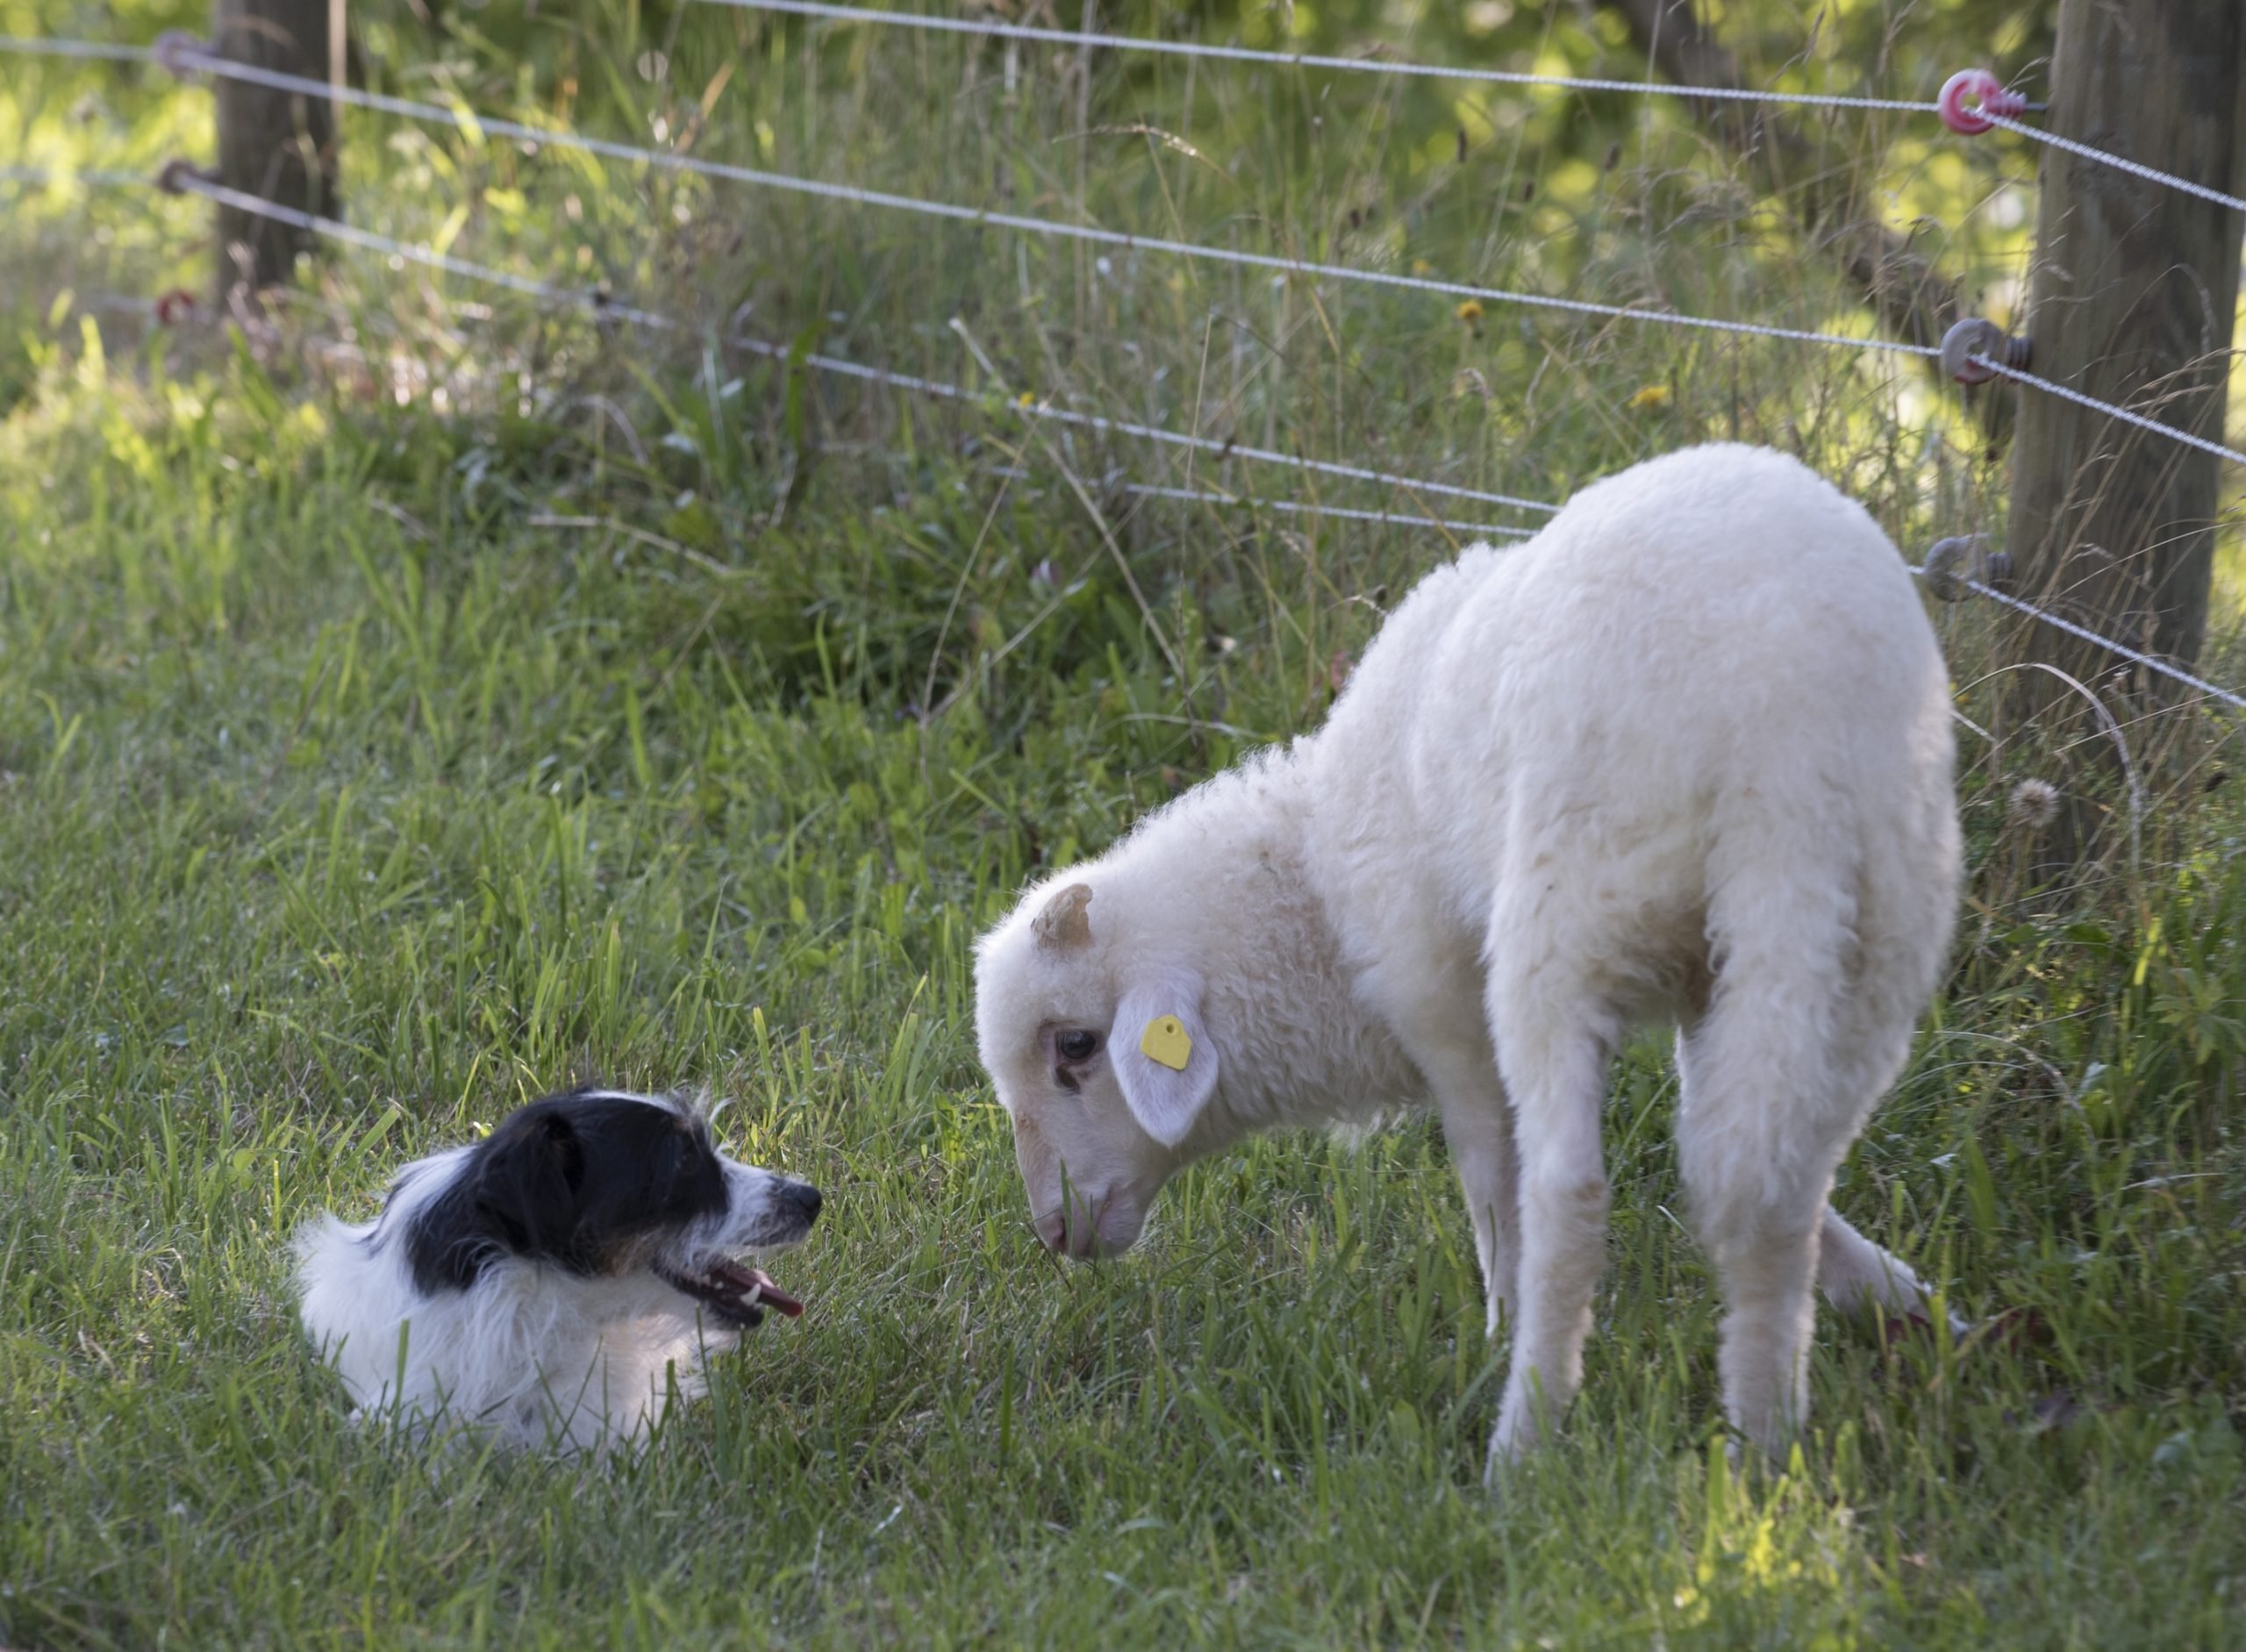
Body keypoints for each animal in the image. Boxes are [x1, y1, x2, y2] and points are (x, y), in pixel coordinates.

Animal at [973, 443, 1962, 1468]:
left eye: (1076, 1047)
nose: (1054, 1231)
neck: (1312, 892)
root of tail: (1784, 734)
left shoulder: (1441, 1005)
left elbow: (1492, 1174)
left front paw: (1497, 1318)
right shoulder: (1706, 984)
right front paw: (1886, 1290)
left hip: (1564, 922)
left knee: (1571, 1189)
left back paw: (1525, 1437)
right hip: (1861, 930)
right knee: (1782, 1180)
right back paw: (1763, 1440)